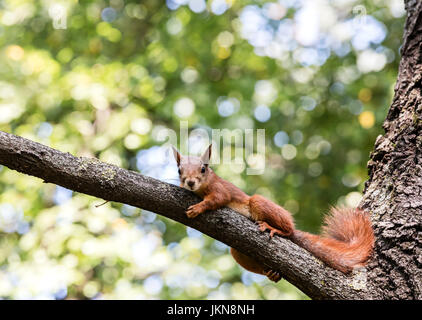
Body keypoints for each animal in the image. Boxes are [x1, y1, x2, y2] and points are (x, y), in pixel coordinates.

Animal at [173, 144, 374, 282]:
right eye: (179, 170)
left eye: (203, 169)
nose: (190, 182)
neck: (203, 187)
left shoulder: (221, 189)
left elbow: (216, 199)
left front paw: (198, 208)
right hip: (238, 252)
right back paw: (271, 273)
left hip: (259, 203)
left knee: (288, 230)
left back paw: (276, 230)